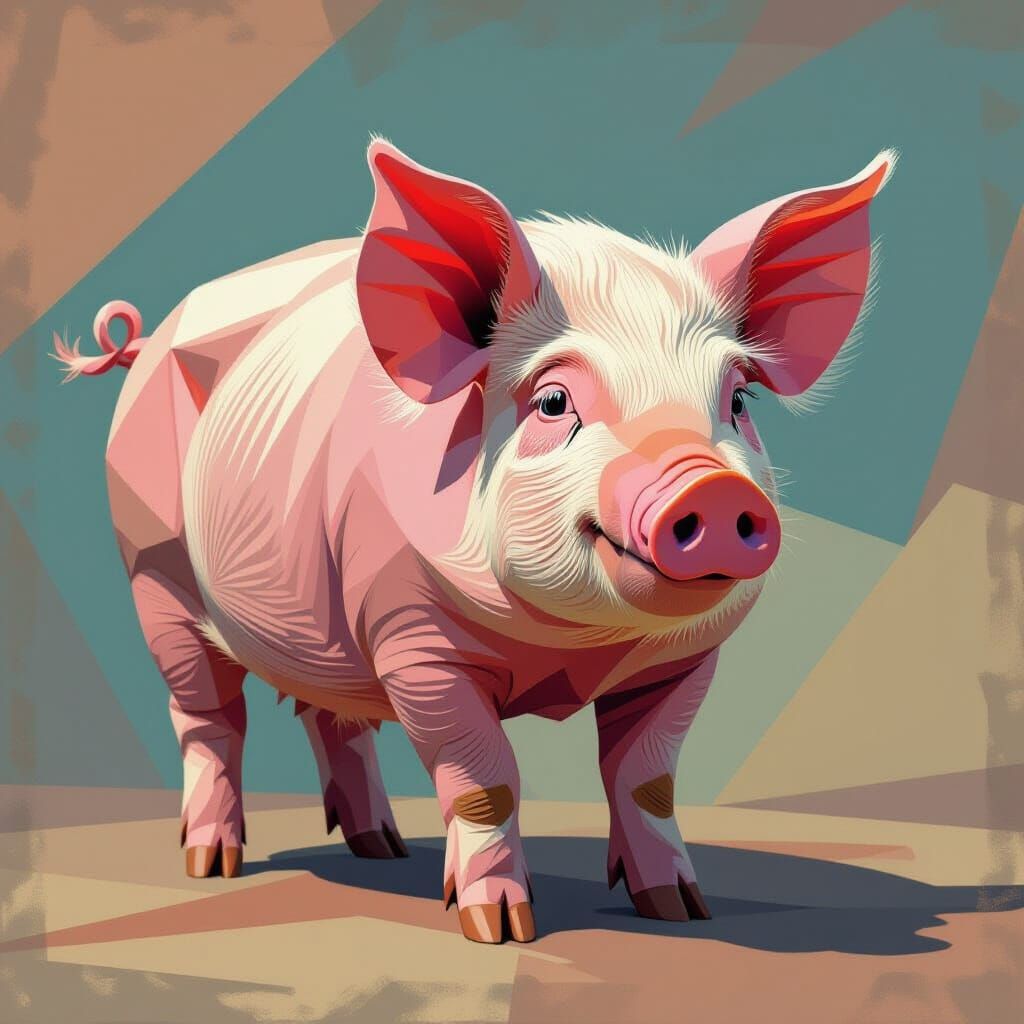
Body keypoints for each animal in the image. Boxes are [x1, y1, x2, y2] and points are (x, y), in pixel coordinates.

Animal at [55, 139, 893, 944]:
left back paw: (382, 848)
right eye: (553, 401)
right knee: (208, 717)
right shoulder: (413, 639)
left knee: (332, 715)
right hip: (153, 574)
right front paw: (499, 929)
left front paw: (682, 911)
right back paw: (211, 862)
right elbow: (485, 775)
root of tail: (147, 341)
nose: (714, 489)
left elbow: (646, 778)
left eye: (738, 399)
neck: (572, 650)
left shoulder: (686, 660)